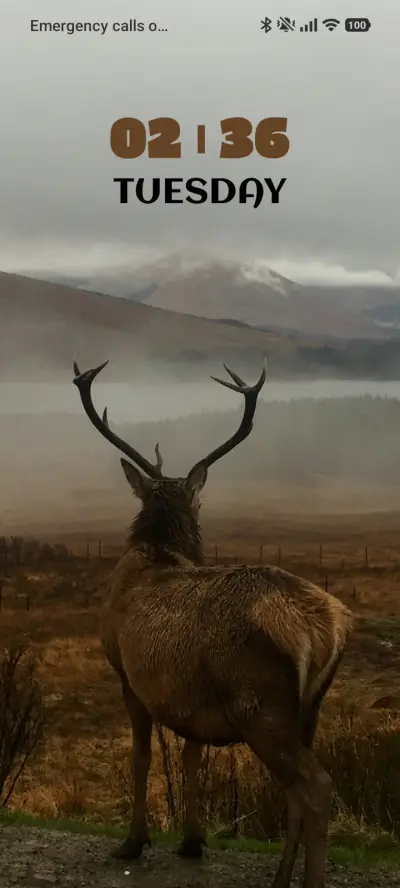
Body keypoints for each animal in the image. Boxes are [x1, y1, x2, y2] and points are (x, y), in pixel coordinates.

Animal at [73, 358, 353, 888]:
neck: (157, 552)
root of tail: (326, 631)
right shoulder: (191, 698)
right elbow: (191, 756)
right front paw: (191, 840)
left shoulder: (126, 675)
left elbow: (141, 758)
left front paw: (133, 841)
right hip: (310, 708)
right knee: (297, 793)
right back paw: (280, 878)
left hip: (260, 706)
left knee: (318, 787)